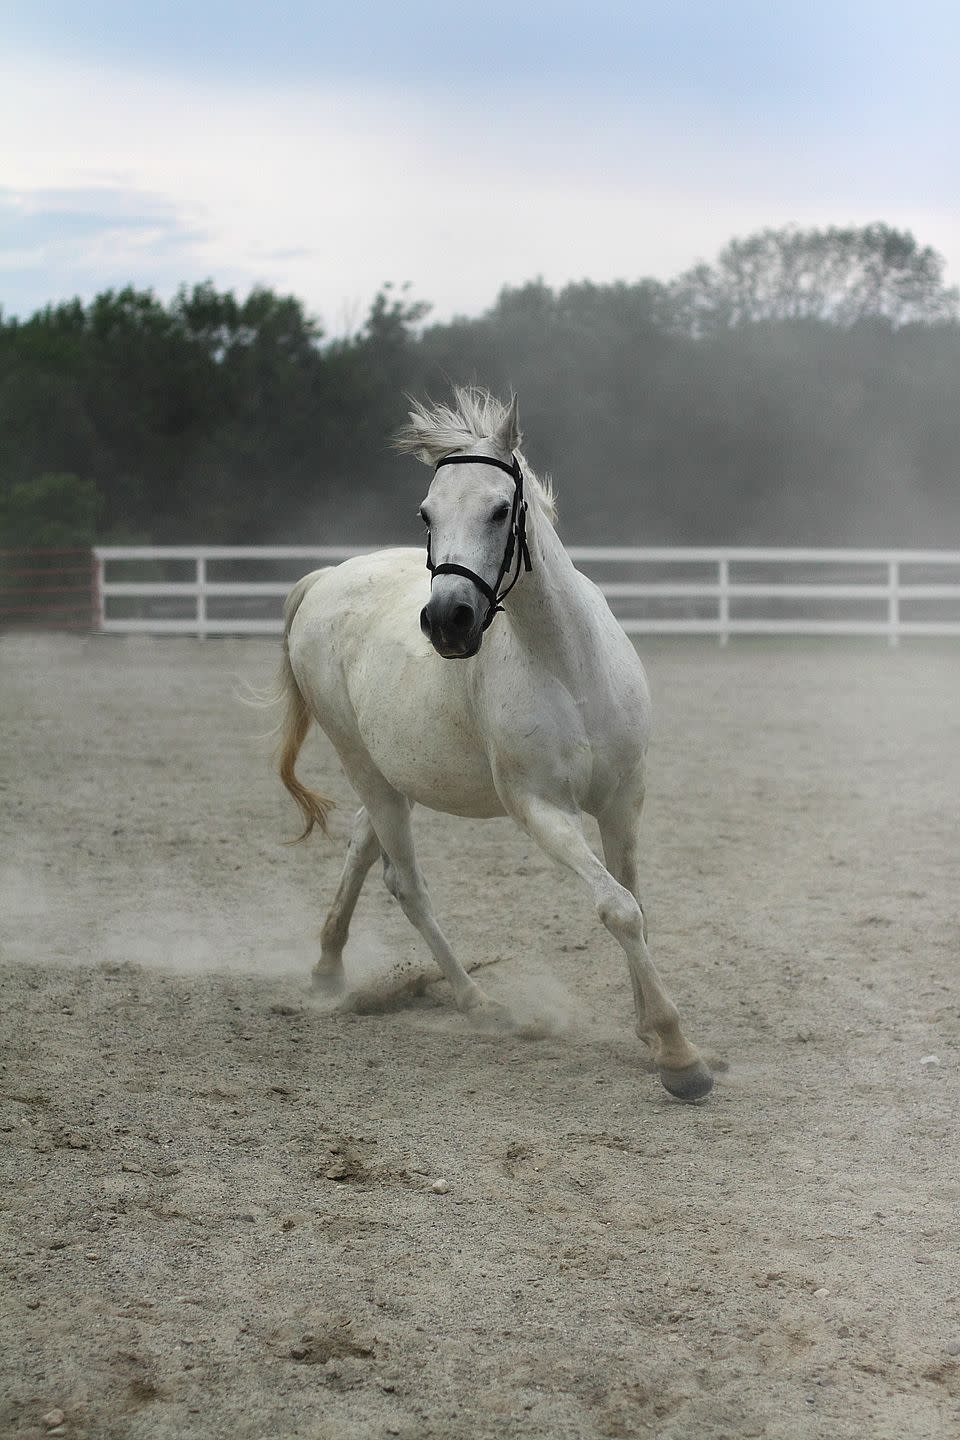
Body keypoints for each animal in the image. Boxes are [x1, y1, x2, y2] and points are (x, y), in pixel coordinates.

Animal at [277, 388, 713, 1094]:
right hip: (363, 765)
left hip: (394, 776)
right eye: (425, 513)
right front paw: (679, 1056)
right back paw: (477, 1003)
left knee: (364, 850)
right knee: (405, 882)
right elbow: (617, 908)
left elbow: (634, 899)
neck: (568, 665)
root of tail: (326, 579)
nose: (446, 621)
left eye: (500, 508)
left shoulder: (624, 799)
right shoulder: (541, 809)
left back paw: (328, 972)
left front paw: (651, 1031)